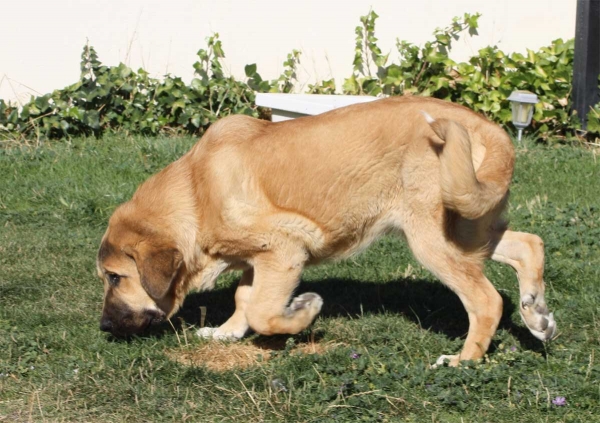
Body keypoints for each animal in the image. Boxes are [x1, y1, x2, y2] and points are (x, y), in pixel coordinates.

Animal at [97, 97, 556, 368]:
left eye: (116, 278)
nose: (102, 327)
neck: (195, 192)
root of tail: (489, 130)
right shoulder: (258, 259)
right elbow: (246, 299)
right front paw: (226, 332)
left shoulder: (284, 250)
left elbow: (263, 311)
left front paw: (304, 311)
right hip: (469, 226)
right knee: (528, 245)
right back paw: (537, 315)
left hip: (433, 238)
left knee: (487, 300)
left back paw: (464, 361)